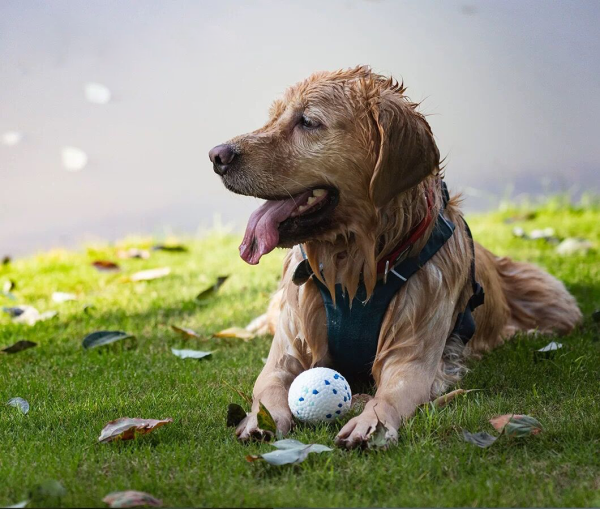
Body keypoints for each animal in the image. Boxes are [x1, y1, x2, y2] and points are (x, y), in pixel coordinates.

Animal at [210, 64, 580, 448]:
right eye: (274, 117)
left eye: (308, 121)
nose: (217, 156)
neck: (356, 265)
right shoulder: (287, 348)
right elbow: (269, 384)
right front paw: (258, 421)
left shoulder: (413, 353)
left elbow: (389, 393)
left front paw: (369, 421)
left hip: (553, 297)